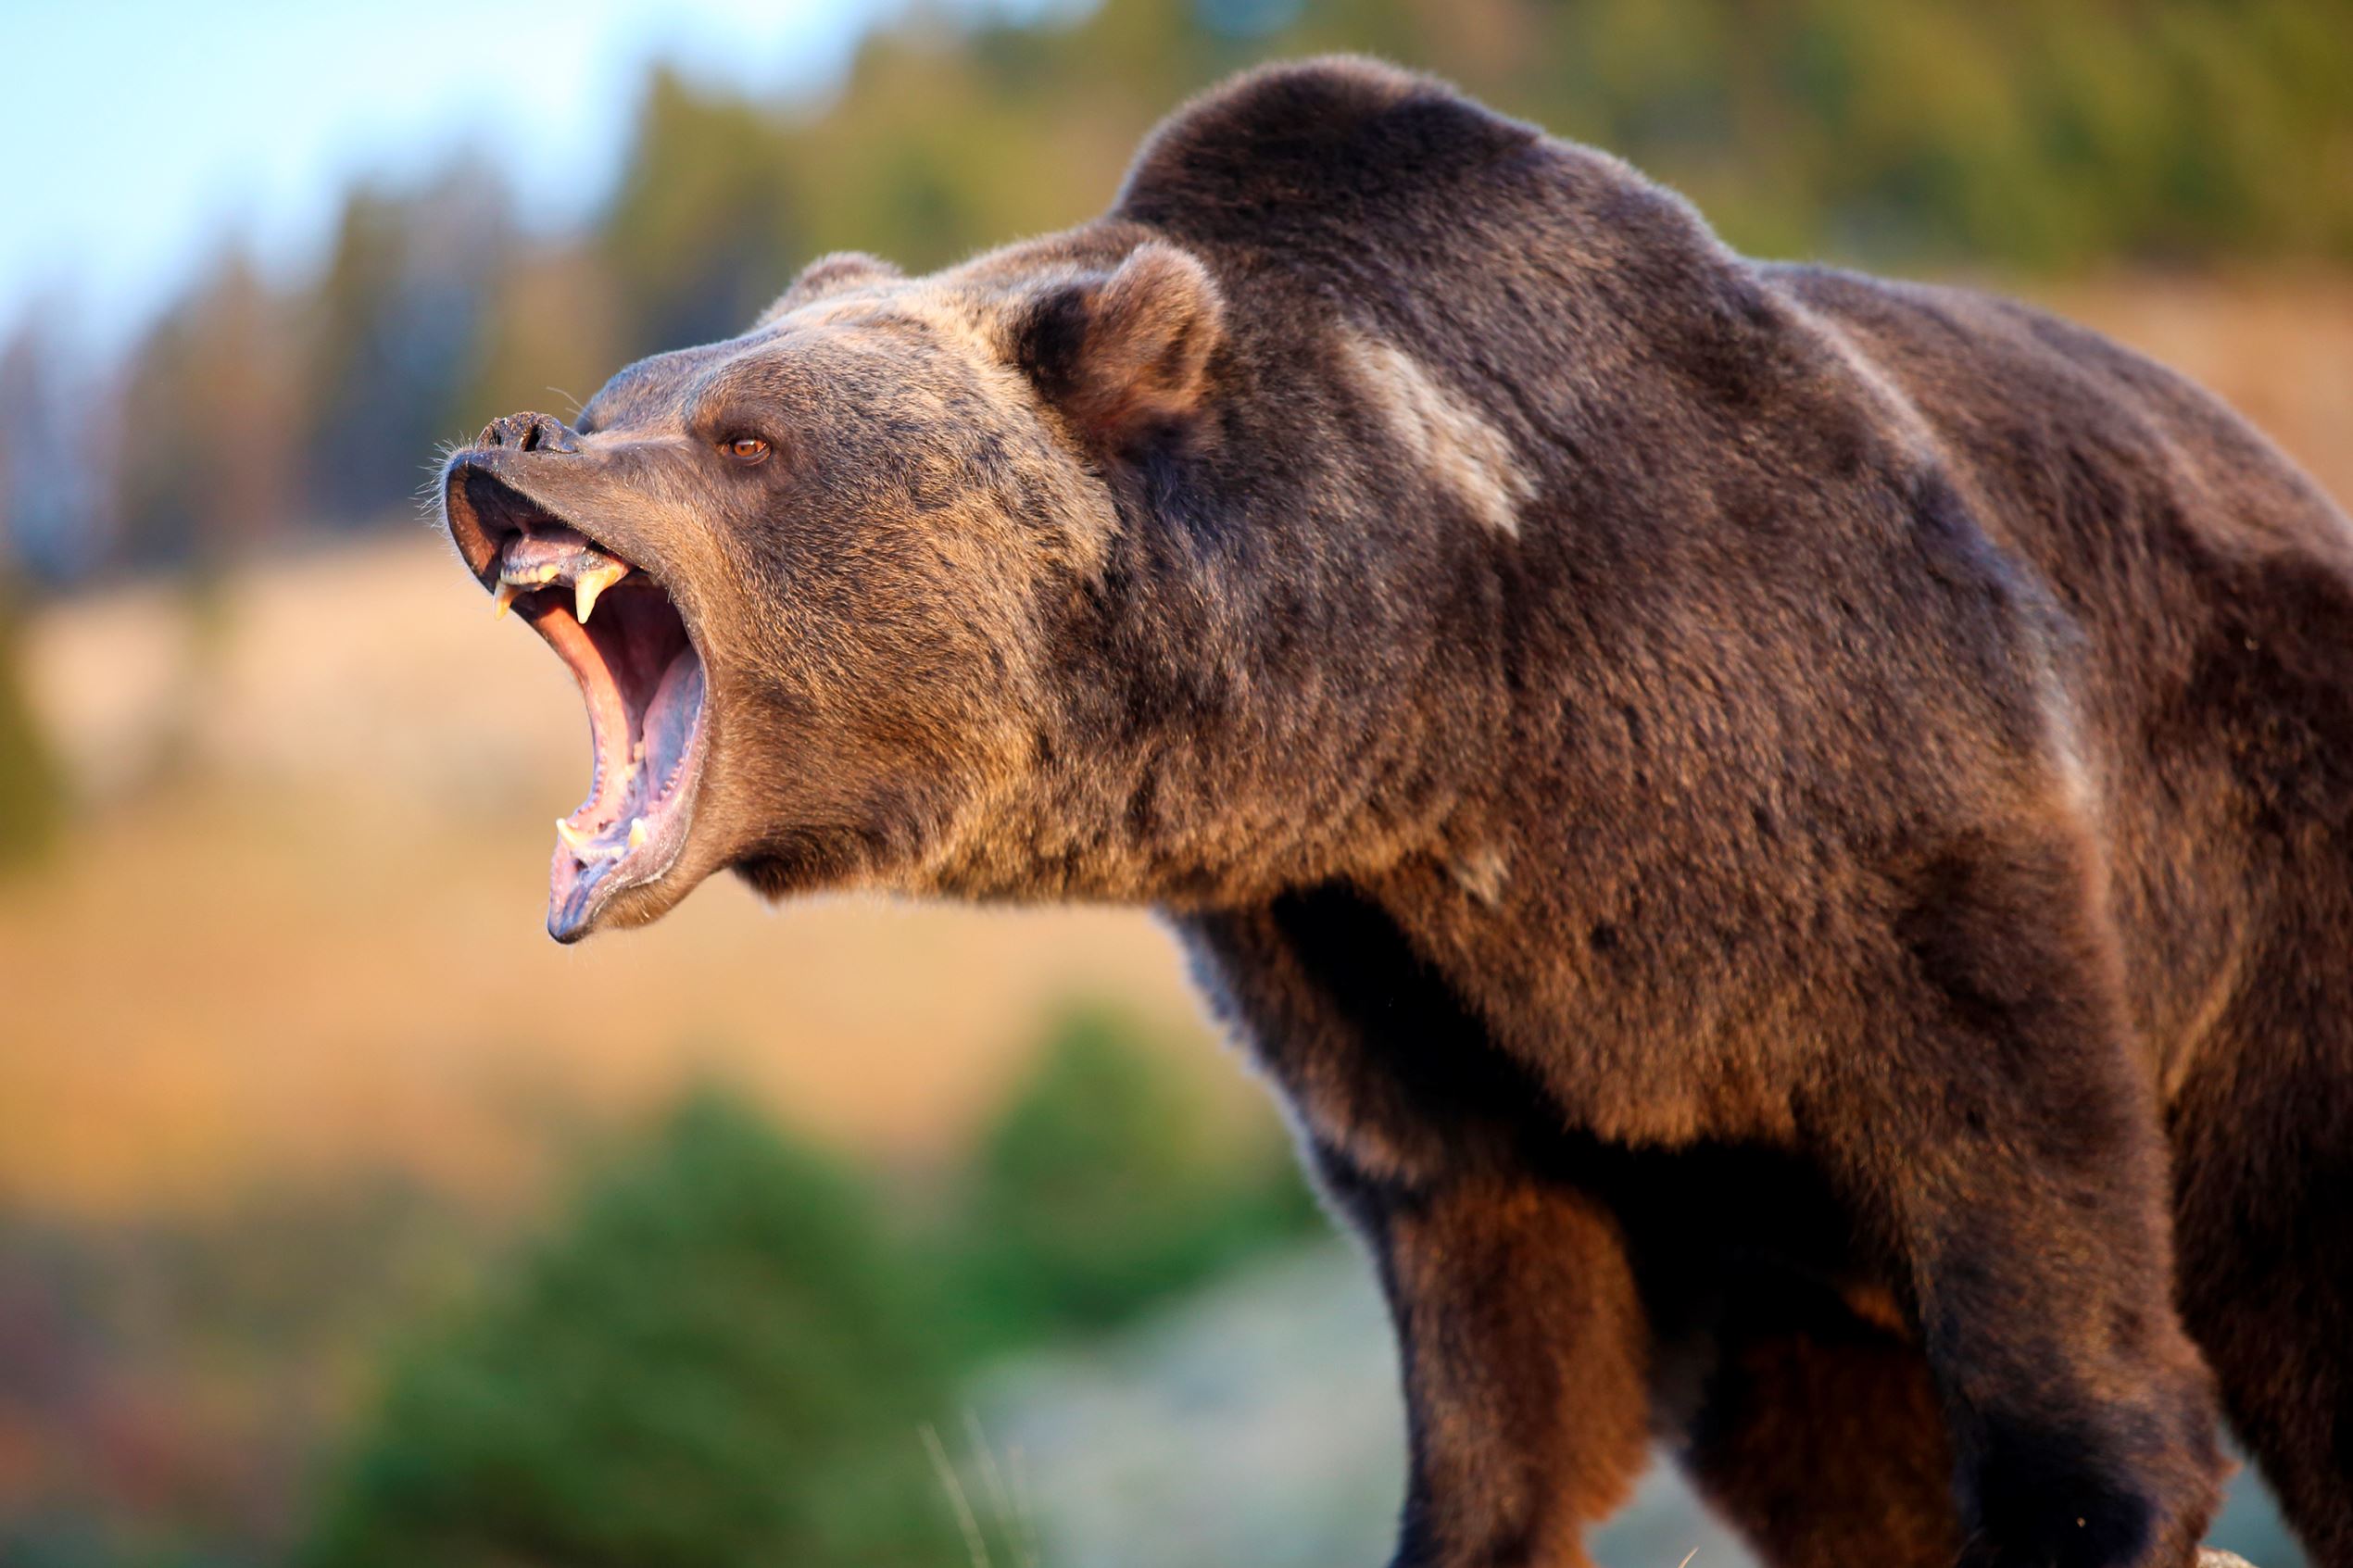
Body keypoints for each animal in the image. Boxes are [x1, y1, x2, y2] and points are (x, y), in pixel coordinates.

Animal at [436, 57, 2353, 1568]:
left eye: (743, 436)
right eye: (620, 400)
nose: (510, 441)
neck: (1442, 682)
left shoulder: (1857, 770)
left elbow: (2012, 1139)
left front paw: (2090, 1494)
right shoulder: (1396, 981)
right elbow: (1502, 1334)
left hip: (2282, 861)